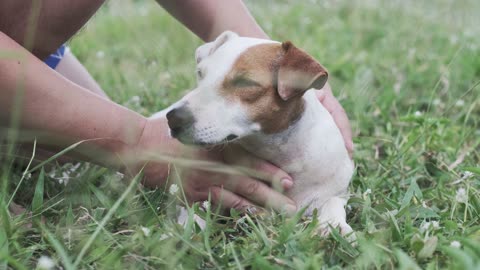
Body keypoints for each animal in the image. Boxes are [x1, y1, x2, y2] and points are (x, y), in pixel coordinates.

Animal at [161, 31, 352, 237]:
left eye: (244, 82)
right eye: (200, 73)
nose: (173, 118)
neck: (279, 154)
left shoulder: (335, 189)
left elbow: (332, 202)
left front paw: (334, 225)